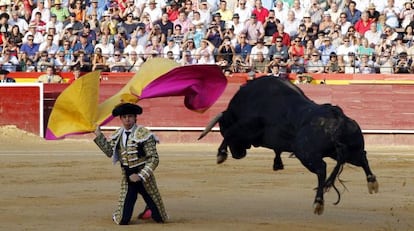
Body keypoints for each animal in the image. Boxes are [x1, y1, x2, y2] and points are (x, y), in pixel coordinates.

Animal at [199, 76, 380, 215]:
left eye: (222, 127)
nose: (238, 154)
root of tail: (339, 118)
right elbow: (276, 149)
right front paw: (278, 163)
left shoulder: (245, 125)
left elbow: (231, 133)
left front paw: (221, 154)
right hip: (347, 151)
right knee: (363, 158)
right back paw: (372, 183)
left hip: (306, 154)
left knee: (321, 169)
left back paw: (318, 202)